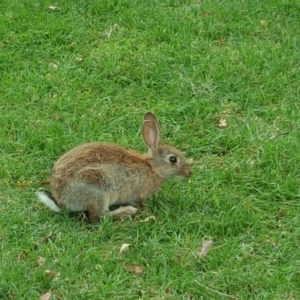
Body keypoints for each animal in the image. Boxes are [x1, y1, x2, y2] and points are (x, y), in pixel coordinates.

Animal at [35, 112, 192, 223]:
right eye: (173, 159)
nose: (189, 172)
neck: (152, 167)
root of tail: (61, 200)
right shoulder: (136, 193)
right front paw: (147, 211)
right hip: (98, 189)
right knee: (97, 217)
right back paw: (127, 211)